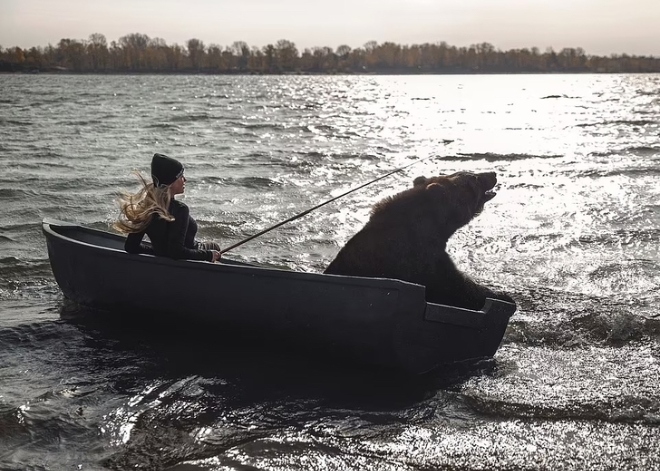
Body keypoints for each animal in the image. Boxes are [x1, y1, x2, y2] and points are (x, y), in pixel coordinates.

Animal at [324, 171, 515, 311]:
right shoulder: (418, 259)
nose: (492, 173)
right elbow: (455, 286)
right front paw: (503, 296)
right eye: (473, 178)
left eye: (470, 173)